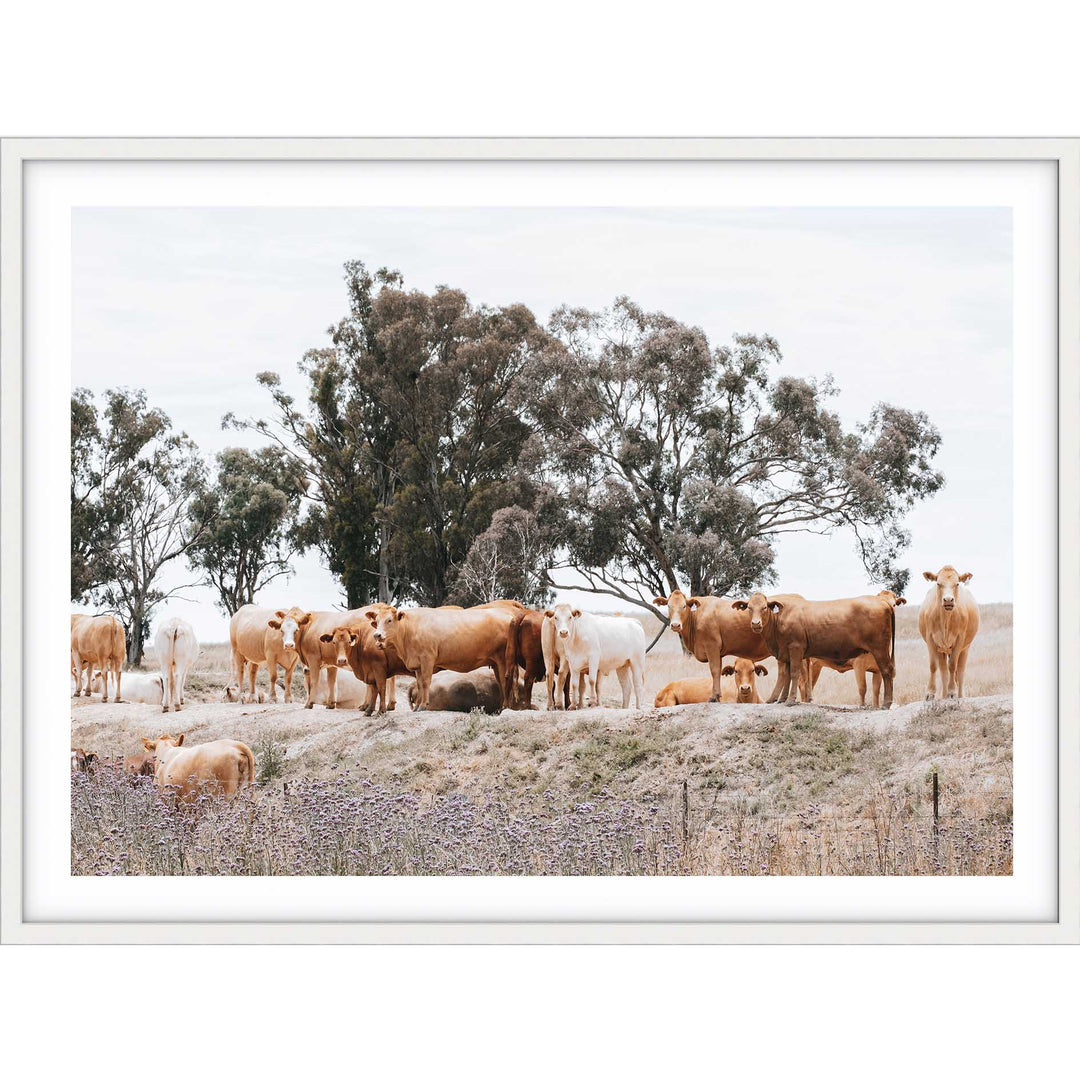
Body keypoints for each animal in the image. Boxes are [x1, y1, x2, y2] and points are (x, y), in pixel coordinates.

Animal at [366, 605, 518, 712]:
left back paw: (506, 706)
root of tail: (508, 615)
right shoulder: (418, 664)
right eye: (376, 621)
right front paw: (418, 706)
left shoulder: (427, 658)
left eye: (389, 620)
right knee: (501, 681)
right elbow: (419, 684)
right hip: (496, 662)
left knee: (505, 681)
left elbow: (426, 682)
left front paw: (423, 705)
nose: (377, 635)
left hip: (503, 659)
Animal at [651, 591, 802, 703]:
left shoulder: (712, 646)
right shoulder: (718, 652)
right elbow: (718, 670)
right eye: (668, 606)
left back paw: (774, 698)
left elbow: (714, 670)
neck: (697, 615)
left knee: (784, 673)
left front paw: (714, 697)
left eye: (684, 606)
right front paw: (717, 695)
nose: (675, 625)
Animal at [733, 592, 896, 708]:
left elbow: (794, 674)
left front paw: (790, 700)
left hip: (879, 649)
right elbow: (786, 676)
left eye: (764, 607)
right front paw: (782, 699)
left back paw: (886, 704)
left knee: (887, 671)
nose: (756, 623)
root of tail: (883, 602)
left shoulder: (796, 648)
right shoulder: (786, 653)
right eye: (749, 608)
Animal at [919, 566, 979, 700]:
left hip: (965, 648)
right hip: (942, 650)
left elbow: (952, 665)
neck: (945, 619)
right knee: (943, 671)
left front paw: (952, 692)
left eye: (957, 584)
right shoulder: (930, 639)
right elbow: (933, 666)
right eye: (938, 583)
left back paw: (960, 695)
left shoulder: (959, 640)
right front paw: (930, 693)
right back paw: (944, 695)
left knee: (960, 671)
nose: (948, 600)